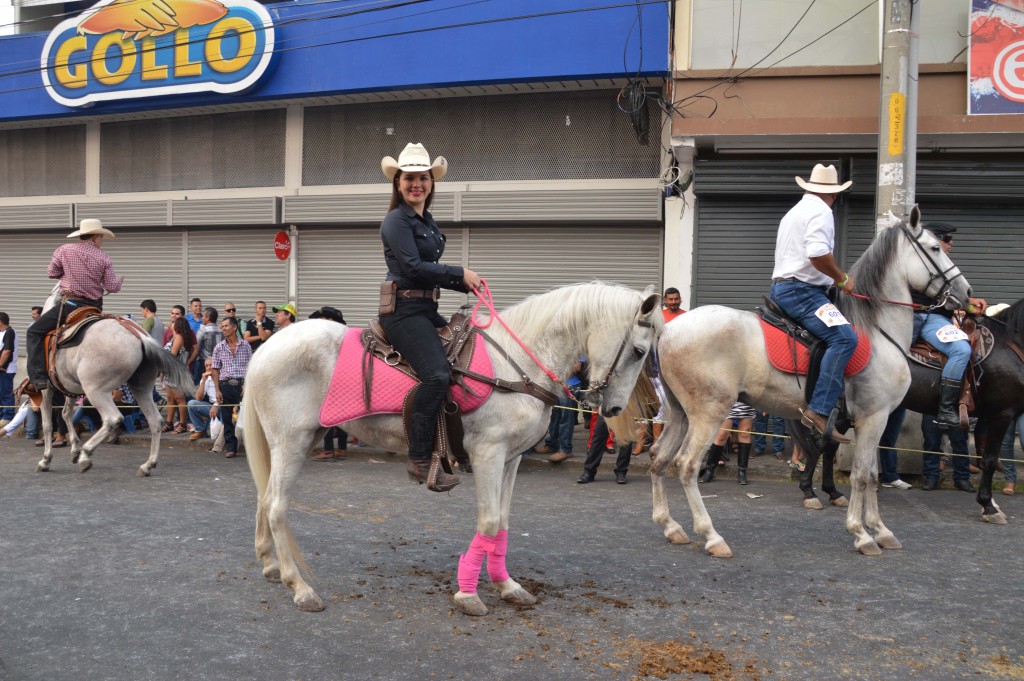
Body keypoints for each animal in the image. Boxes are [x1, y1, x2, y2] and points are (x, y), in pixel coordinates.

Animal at [790, 294, 1024, 522]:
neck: (1009, 346)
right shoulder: (1001, 415)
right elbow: (990, 460)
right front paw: (988, 506)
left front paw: (991, 504)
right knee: (822, 445)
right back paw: (809, 492)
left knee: (828, 446)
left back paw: (832, 492)